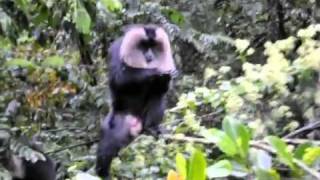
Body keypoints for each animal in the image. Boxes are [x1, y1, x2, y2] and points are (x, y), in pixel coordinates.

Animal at [96, 23, 176, 179]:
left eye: (153, 46)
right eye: (144, 45)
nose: (150, 56)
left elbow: (160, 91)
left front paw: (166, 77)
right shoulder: (116, 49)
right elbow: (119, 79)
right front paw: (157, 72)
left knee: (157, 98)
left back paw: (152, 127)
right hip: (120, 122)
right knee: (107, 148)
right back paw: (103, 173)